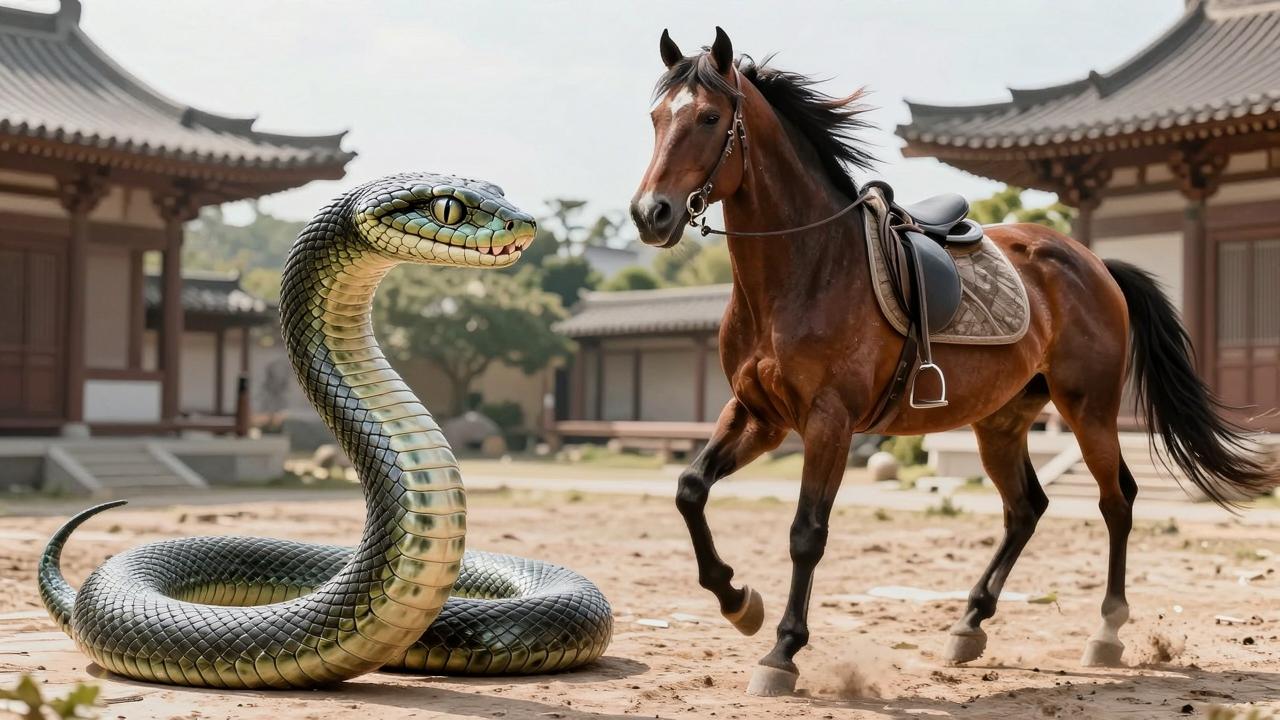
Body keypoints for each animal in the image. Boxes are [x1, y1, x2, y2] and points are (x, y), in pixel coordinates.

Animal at [629, 27, 1278, 697]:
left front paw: (782, 651)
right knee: (1026, 508)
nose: (651, 214)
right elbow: (689, 490)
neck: (806, 269)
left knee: (1115, 501)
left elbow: (806, 534)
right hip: (1001, 421)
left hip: (1089, 410)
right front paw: (739, 602)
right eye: (656, 117)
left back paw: (1106, 631)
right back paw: (969, 622)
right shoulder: (759, 414)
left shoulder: (829, 423)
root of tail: (1095, 262)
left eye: (709, 117)